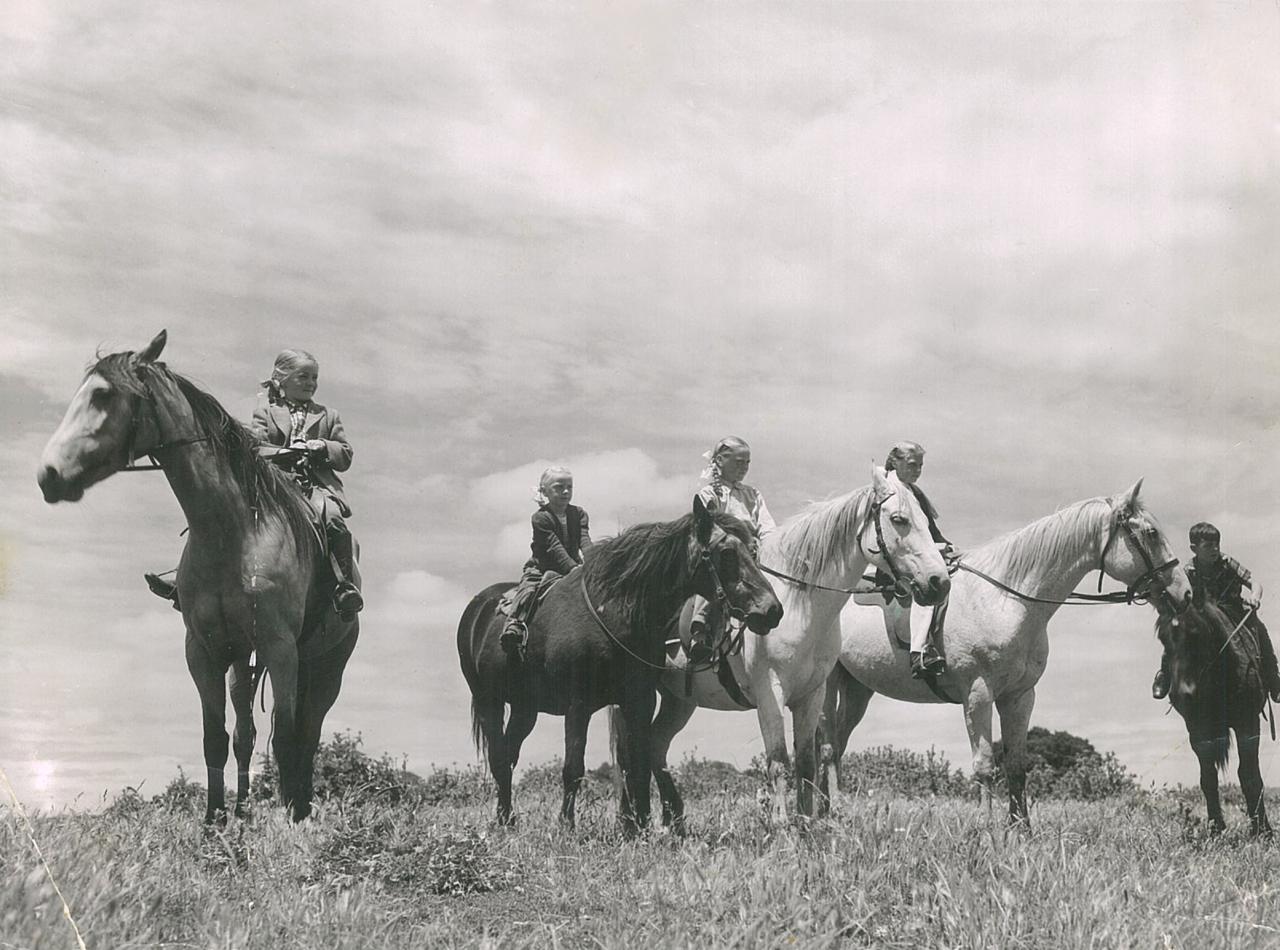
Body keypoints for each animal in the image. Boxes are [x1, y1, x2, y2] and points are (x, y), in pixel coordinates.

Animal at [38, 335, 358, 824]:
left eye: (103, 396)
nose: (48, 475)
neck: (232, 533)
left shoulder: (281, 648)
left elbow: (286, 738)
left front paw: (287, 823)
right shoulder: (203, 651)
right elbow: (216, 739)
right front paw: (215, 823)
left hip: (327, 666)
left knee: (307, 734)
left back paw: (298, 809)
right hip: (244, 664)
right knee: (248, 734)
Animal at [614, 468, 957, 824]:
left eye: (926, 520)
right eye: (899, 519)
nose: (939, 583)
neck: (798, 605)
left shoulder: (812, 694)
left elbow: (805, 762)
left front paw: (806, 822)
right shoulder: (770, 693)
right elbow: (778, 759)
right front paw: (780, 824)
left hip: (678, 700)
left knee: (655, 746)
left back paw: (674, 818)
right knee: (630, 753)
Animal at [824, 483, 1192, 824]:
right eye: (1151, 533)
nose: (1185, 592)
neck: (1006, 600)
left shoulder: (1020, 696)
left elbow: (1016, 765)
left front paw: (1021, 829)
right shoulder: (978, 694)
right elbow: (985, 765)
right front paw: (987, 831)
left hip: (857, 690)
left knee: (837, 743)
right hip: (827, 683)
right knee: (827, 745)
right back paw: (830, 811)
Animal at [1162, 594, 1269, 839]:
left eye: (1195, 634)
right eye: (1162, 638)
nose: (1181, 695)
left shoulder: (1248, 723)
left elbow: (1249, 775)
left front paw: (1262, 831)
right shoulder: (1197, 730)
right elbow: (1208, 778)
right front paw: (1216, 828)